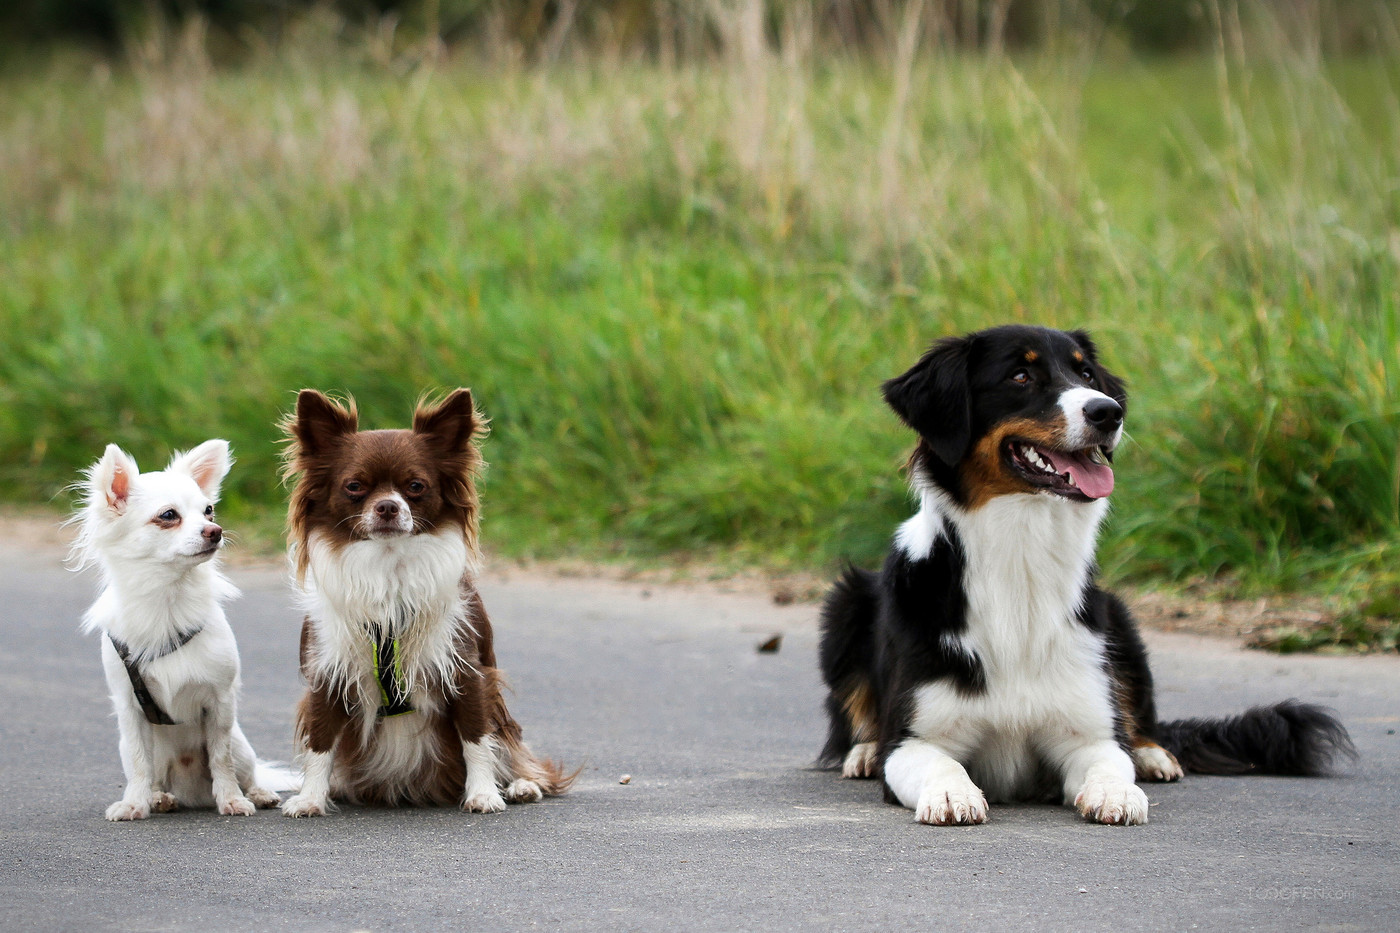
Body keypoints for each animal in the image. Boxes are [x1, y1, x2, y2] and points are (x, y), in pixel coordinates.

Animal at [817, 325, 1355, 823]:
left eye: (1087, 374)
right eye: (1020, 376)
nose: (1108, 413)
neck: (1022, 561)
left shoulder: (1085, 732)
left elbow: (1109, 760)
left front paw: (1119, 793)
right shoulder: (915, 738)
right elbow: (939, 762)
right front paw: (952, 794)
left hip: (1119, 618)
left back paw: (1154, 755)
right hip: (846, 600)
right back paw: (862, 752)